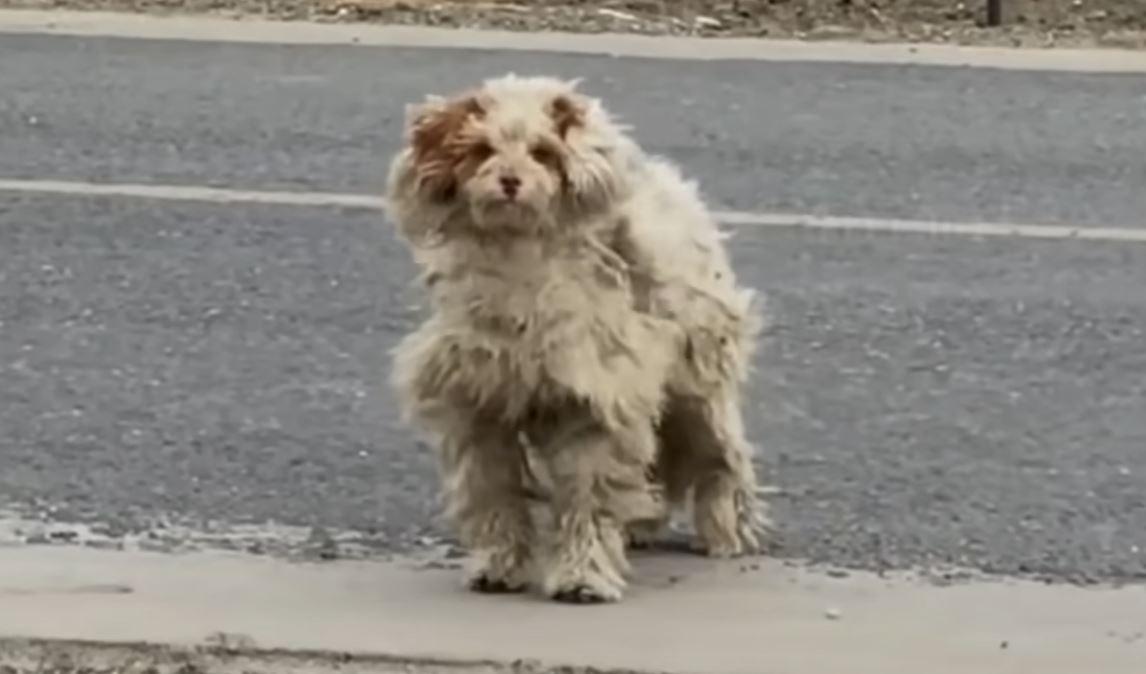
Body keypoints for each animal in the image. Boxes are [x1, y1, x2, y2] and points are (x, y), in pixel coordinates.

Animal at [385, 75, 770, 605]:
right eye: (482, 150)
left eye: (543, 152)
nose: (510, 181)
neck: (519, 260)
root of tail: (674, 188)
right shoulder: (479, 405)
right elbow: (493, 494)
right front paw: (498, 565)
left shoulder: (595, 400)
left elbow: (588, 496)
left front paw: (584, 576)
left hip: (697, 385)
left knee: (723, 455)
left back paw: (727, 529)